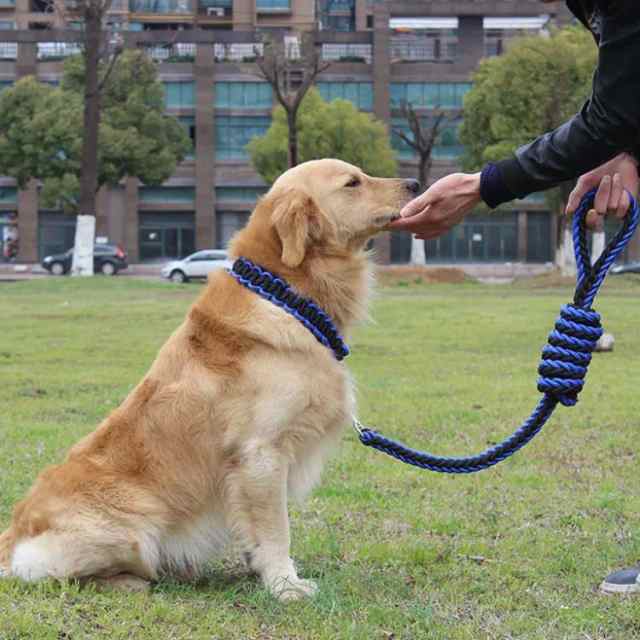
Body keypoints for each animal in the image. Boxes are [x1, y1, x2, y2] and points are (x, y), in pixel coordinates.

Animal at [0, 160, 418, 600]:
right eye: (352, 182)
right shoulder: (261, 454)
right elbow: (277, 530)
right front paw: (285, 585)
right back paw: (133, 581)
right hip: (136, 524)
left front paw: (260, 571)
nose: (415, 184)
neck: (287, 294)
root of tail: (11, 540)